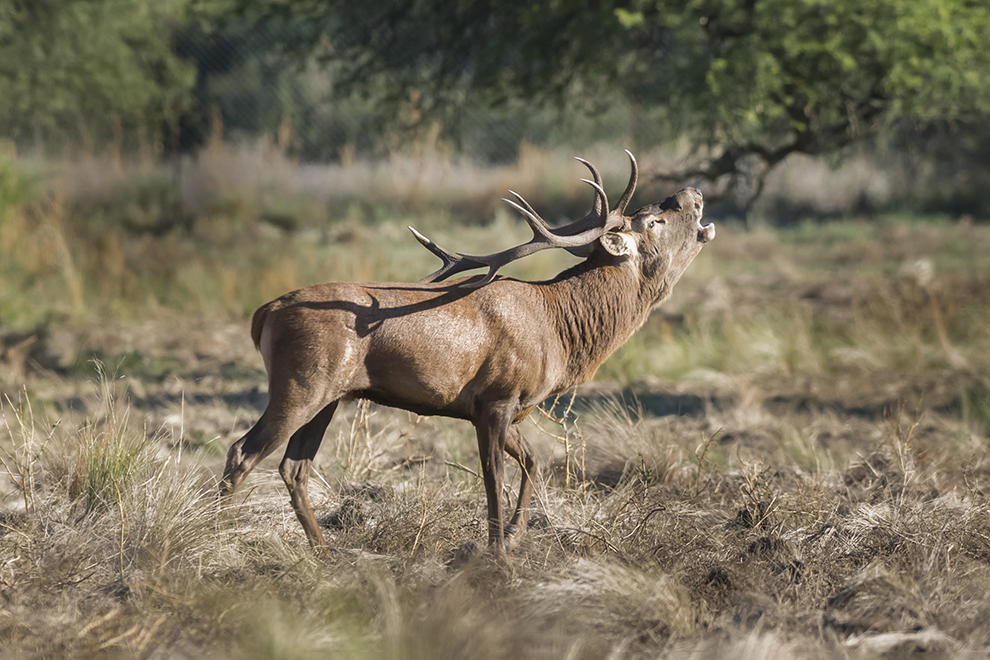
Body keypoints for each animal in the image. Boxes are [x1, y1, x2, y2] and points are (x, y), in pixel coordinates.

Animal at [219, 153, 712, 552]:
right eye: (653, 221)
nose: (693, 193)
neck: (560, 331)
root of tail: (263, 313)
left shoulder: (507, 407)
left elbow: (532, 461)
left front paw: (514, 535)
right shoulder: (495, 397)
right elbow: (494, 477)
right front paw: (497, 553)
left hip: (329, 395)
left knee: (293, 467)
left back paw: (324, 551)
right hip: (301, 382)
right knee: (242, 451)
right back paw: (220, 537)